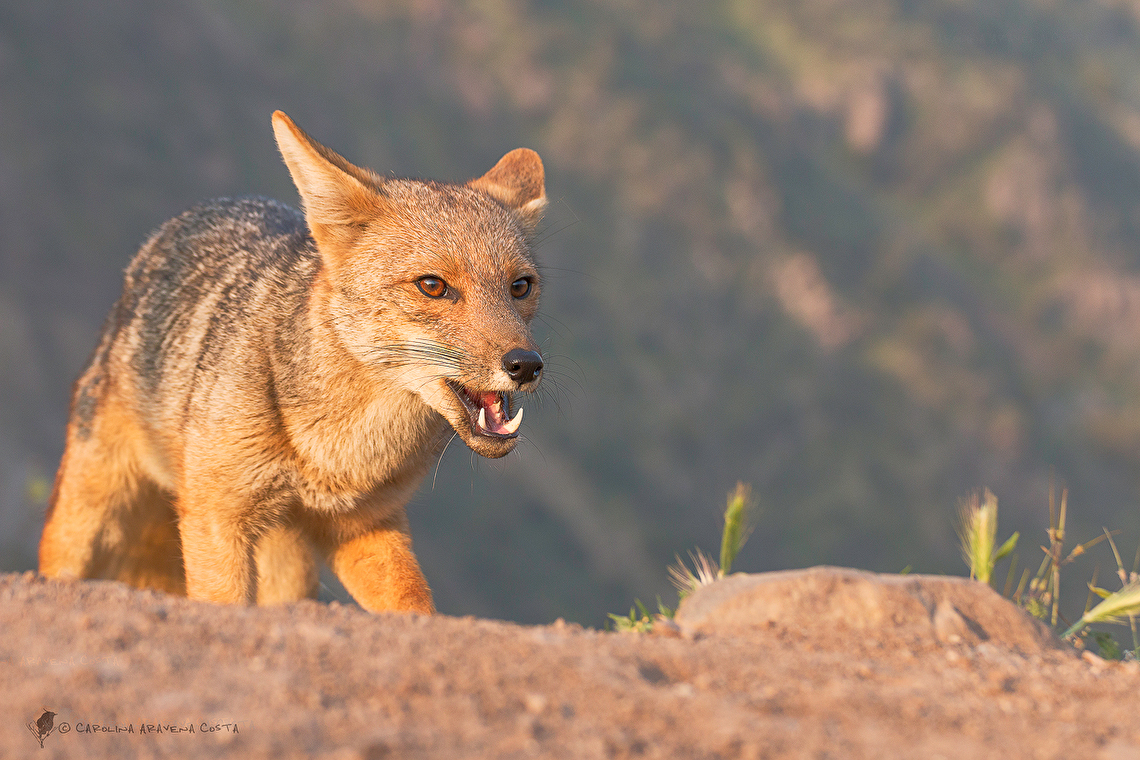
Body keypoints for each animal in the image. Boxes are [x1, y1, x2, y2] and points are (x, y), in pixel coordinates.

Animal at [37, 109, 544, 615]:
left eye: (521, 287)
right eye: (433, 286)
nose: (526, 365)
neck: (336, 454)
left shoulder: (366, 525)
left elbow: (414, 604)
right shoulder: (217, 519)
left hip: (289, 565)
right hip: (87, 520)